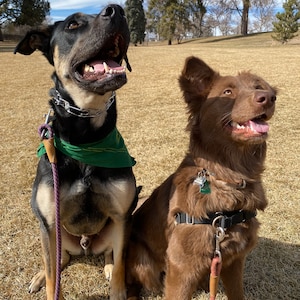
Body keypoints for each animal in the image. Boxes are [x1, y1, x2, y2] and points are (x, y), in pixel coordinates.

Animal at [14, 4, 136, 300]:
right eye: (72, 24)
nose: (117, 10)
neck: (86, 140)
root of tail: (84, 245)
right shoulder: (48, 221)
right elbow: (52, 277)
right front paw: (45, 281)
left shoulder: (122, 216)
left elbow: (120, 265)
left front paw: (117, 287)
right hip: (54, 234)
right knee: (59, 260)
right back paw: (38, 275)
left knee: (109, 255)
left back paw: (106, 266)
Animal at [126, 56, 276, 300]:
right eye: (227, 92)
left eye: (258, 87)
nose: (268, 98)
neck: (229, 181)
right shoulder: (181, 267)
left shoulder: (233, 260)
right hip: (142, 261)